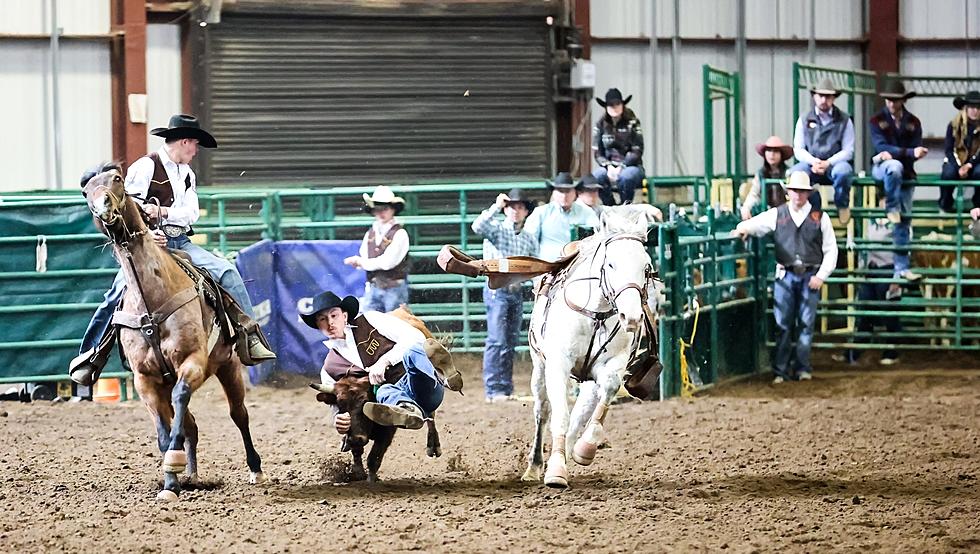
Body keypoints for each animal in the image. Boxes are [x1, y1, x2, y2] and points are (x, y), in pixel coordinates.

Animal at [81, 164, 264, 500]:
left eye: (117, 180)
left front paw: (173, 467)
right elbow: (165, 433)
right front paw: (170, 481)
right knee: (190, 423)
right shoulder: (144, 380)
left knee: (238, 414)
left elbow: (181, 408)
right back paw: (190, 475)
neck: (152, 298)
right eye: (86, 191)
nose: (103, 206)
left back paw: (255, 469)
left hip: (228, 366)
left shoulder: (192, 363)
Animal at [524, 209, 656, 486]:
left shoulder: (613, 366)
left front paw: (583, 450)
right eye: (611, 264)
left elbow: (607, 392)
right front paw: (555, 473)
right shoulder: (558, 364)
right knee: (543, 410)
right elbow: (560, 416)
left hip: (588, 382)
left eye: (646, 267)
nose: (632, 317)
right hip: (539, 368)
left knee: (580, 415)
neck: (595, 315)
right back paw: (535, 466)